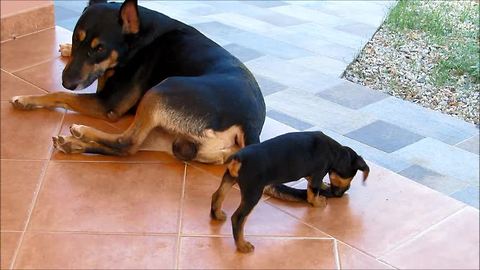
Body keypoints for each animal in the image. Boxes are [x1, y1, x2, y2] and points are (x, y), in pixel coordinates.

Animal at [10, 0, 266, 165]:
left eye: (99, 48)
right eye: (76, 38)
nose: (66, 81)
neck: (137, 38)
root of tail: (249, 123)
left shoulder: (108, 105)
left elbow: (59, 95)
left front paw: (27, 99)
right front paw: (65, 48)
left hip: (160, 91)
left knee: (127, 143)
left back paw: (82, 132)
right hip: (175, 140)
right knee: (135, 146)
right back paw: (75, 143)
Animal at [208, 131, 370, 253]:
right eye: (352, 176)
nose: (343, 192)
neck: (336, 152)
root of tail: (238, 158)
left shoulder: (310, 174)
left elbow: (312, 185)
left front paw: (324, 187)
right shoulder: (318, 173)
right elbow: (312, 193)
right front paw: (319, 202)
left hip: (229, 178)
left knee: (217, 195)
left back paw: (217, 215)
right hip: (253, 192)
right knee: (238, 218)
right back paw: (242, 246)